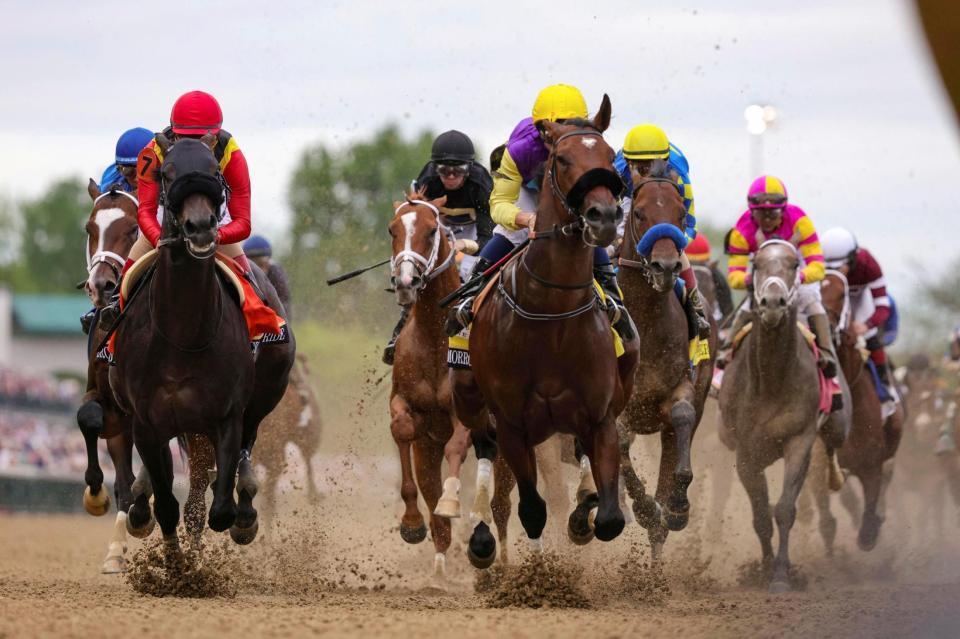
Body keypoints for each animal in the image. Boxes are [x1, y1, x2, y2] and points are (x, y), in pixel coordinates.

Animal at [110, 133, 295, 549]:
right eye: (166, 172)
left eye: (213, 170)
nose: (199, 227)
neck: (183, 332)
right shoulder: (147, 424)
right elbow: (166, 505)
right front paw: (172, 560)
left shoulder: (226, 417)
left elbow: (219, 508)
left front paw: (238, 518)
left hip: (262, 397)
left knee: (243, 452)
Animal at [452, 95, 639, 565]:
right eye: (562, 159)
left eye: (608, 156)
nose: (603, 216)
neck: (552, 313)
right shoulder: (513, 425)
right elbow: (532, 509)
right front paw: (537, 572)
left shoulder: (600, 416)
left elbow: (609, 518)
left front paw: (583, 517)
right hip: (468, 396)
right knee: (483, 445)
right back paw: (480, 536)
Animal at [615, 162, 717, 559]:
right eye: (639, 213)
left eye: (679, 214)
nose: (666, 266)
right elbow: (619, 441)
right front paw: (644, 507)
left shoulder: (680, 388)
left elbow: (683, 415)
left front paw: (676, 506)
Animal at [718, 239, 848, 592]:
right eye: (757, 264)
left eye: (793, 265)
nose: (773, 302)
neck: (772, 380)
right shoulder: (746, 452)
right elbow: (761, 515)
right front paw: (762, 570)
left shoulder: (799, 441)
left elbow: (784, 509)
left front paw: (780, 575)